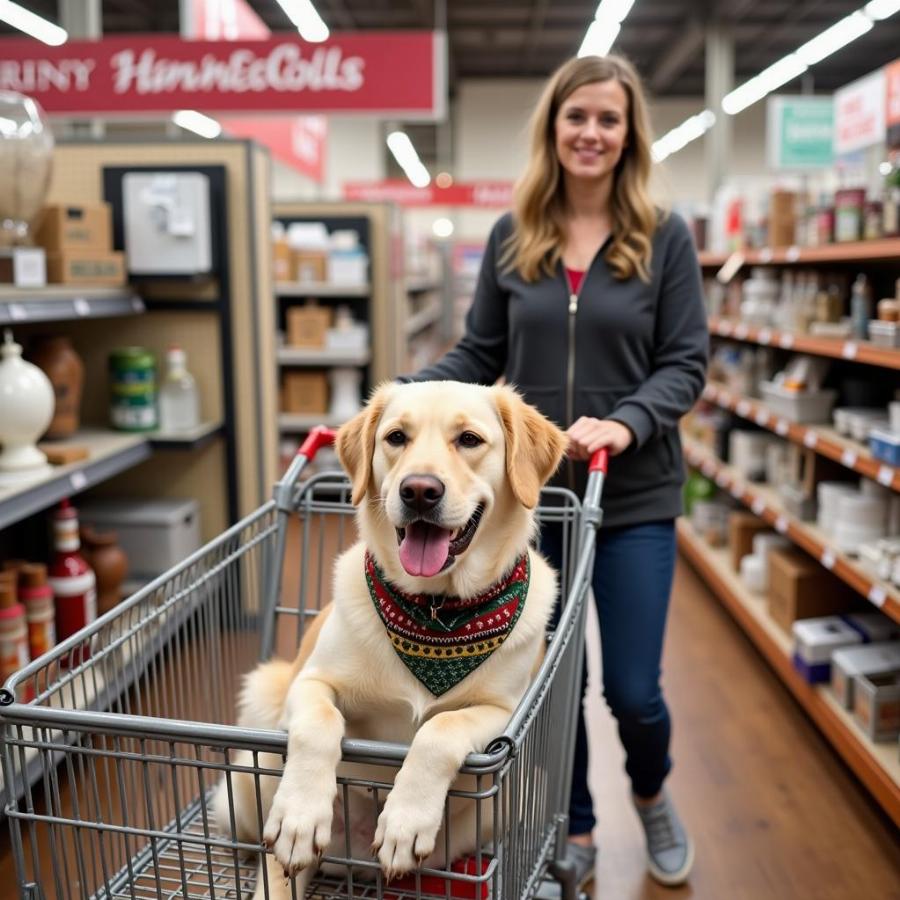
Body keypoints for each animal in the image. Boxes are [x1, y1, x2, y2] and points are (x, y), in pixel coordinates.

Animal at [217, 382, 568, 900]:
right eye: (396, 437)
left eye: (469, 439)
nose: (419, 490)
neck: (435, 614)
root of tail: (352, 864)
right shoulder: (310, 683)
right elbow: (320, 723)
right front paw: (300, 814)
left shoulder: (503, 715)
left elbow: (438, 729)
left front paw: (406, 820)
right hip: (254, 754)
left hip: (513, 796)